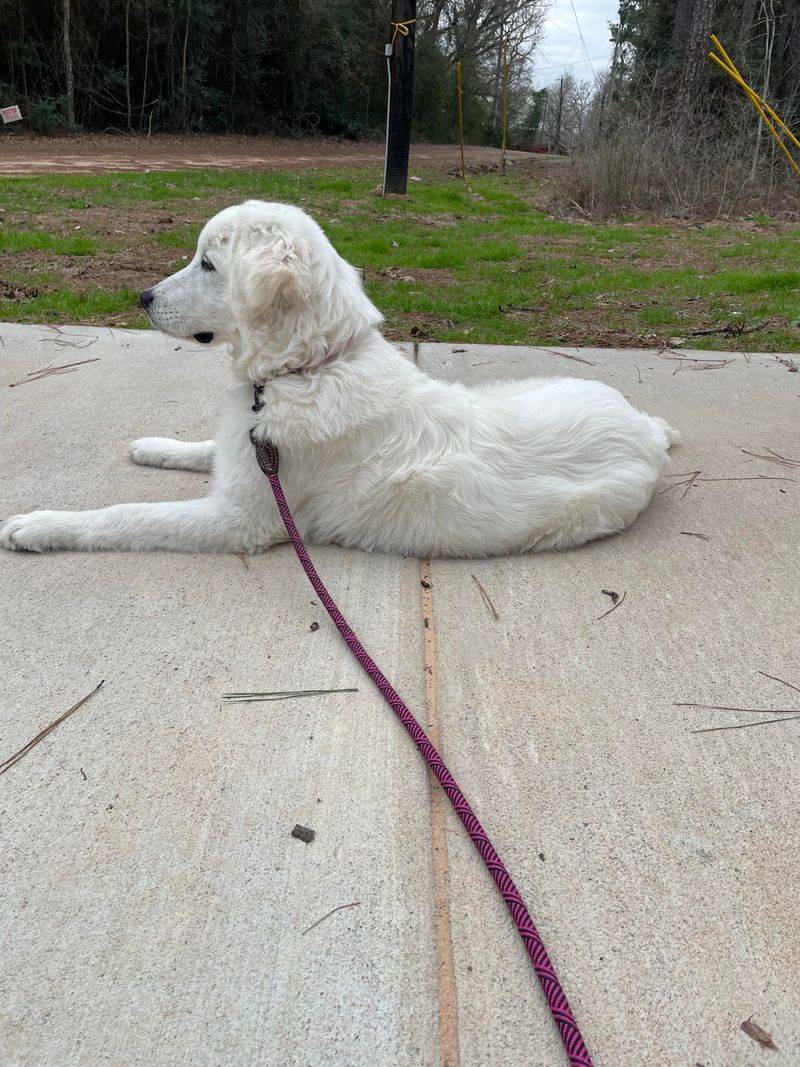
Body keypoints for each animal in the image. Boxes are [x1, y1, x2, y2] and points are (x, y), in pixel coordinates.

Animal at [0, 200, 678, 563]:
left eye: (208, 264)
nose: (140, 298)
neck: (307, 367)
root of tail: (646, 428)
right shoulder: (245, 455)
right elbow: (204, 447)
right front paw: (155, 447)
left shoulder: (244, 519)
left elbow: (129, 514)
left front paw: (41, 525)